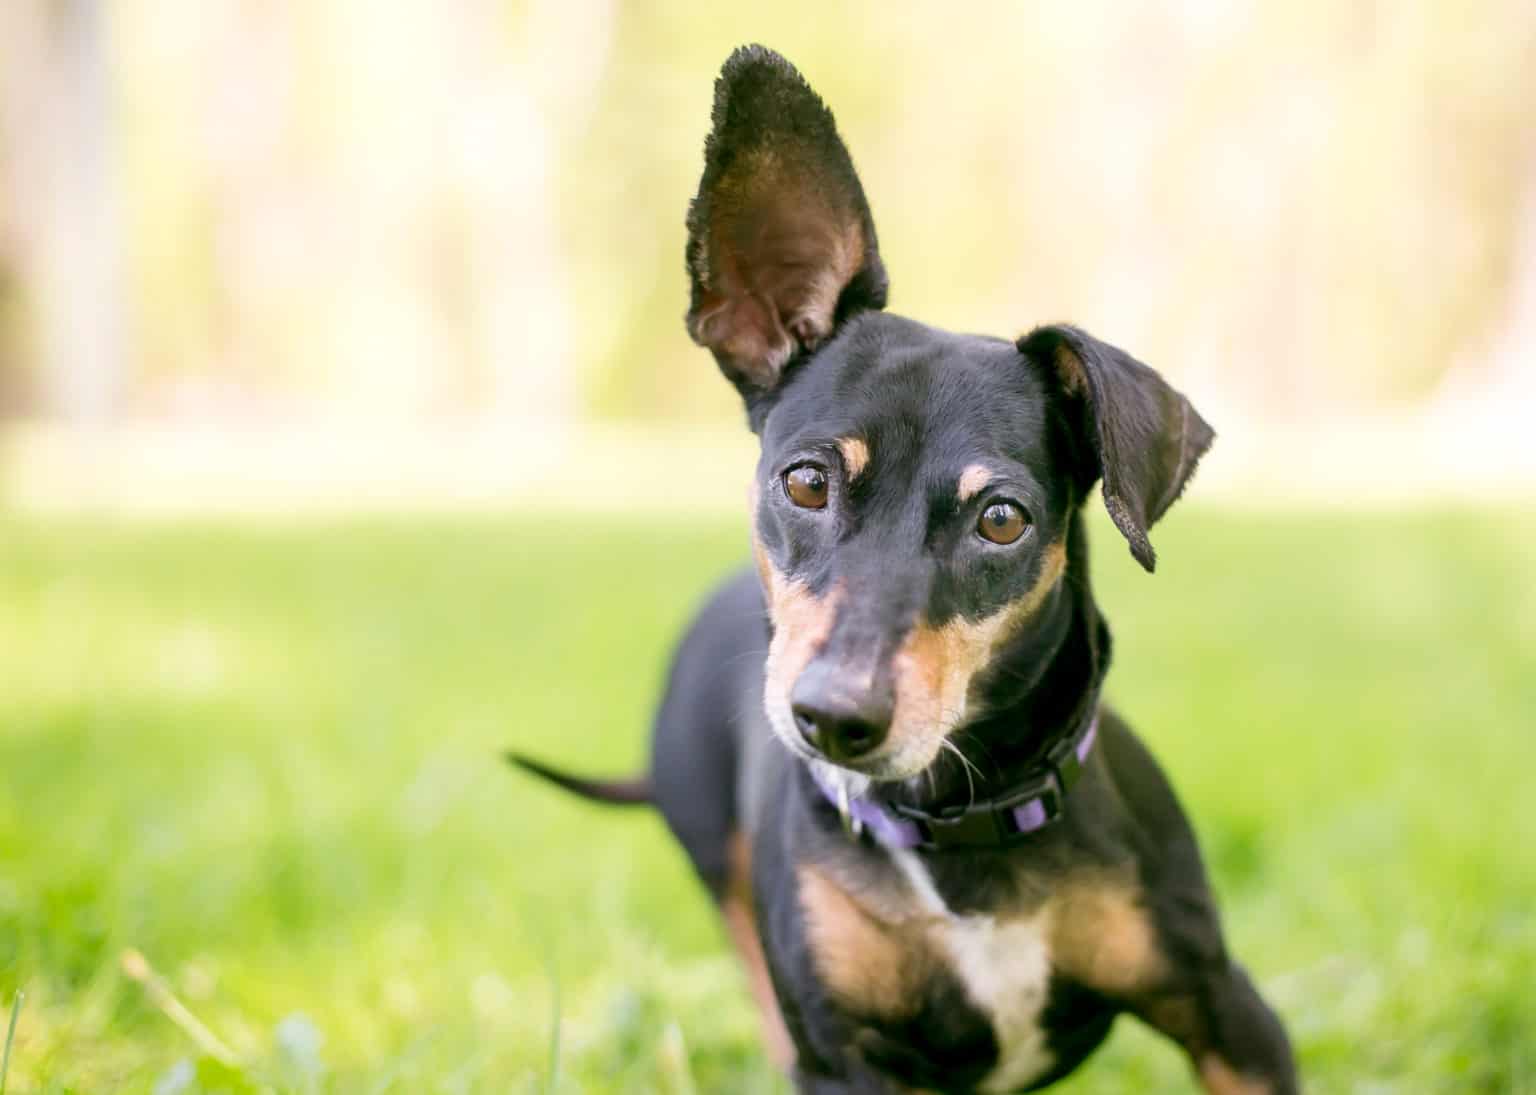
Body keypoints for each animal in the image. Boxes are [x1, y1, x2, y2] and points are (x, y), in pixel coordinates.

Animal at [513, 44, 1296, 1093]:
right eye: (806, 482)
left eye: (1001, 519)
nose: (836, 717)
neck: (963, 822)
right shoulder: (842, 1058)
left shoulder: (1230, 1012)